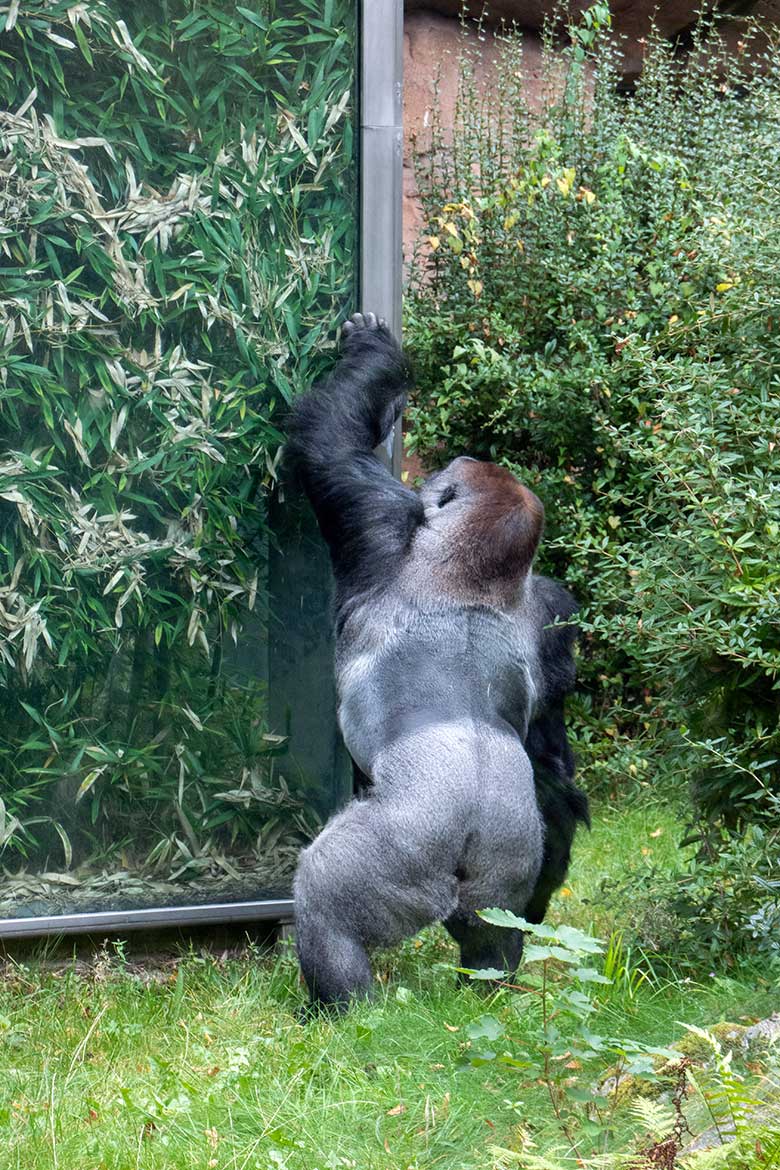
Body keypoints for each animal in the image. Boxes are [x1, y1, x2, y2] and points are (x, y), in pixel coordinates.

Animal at [285, 313, 584, 1015]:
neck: (474, 576)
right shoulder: (554, 612)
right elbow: (552, 764)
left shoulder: (381, 521)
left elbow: (330, 443)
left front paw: (374, 355)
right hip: (504, 866)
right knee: (499, 919)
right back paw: (488, 982)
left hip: (405, 850)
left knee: (326, 901)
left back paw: (337, 1008)